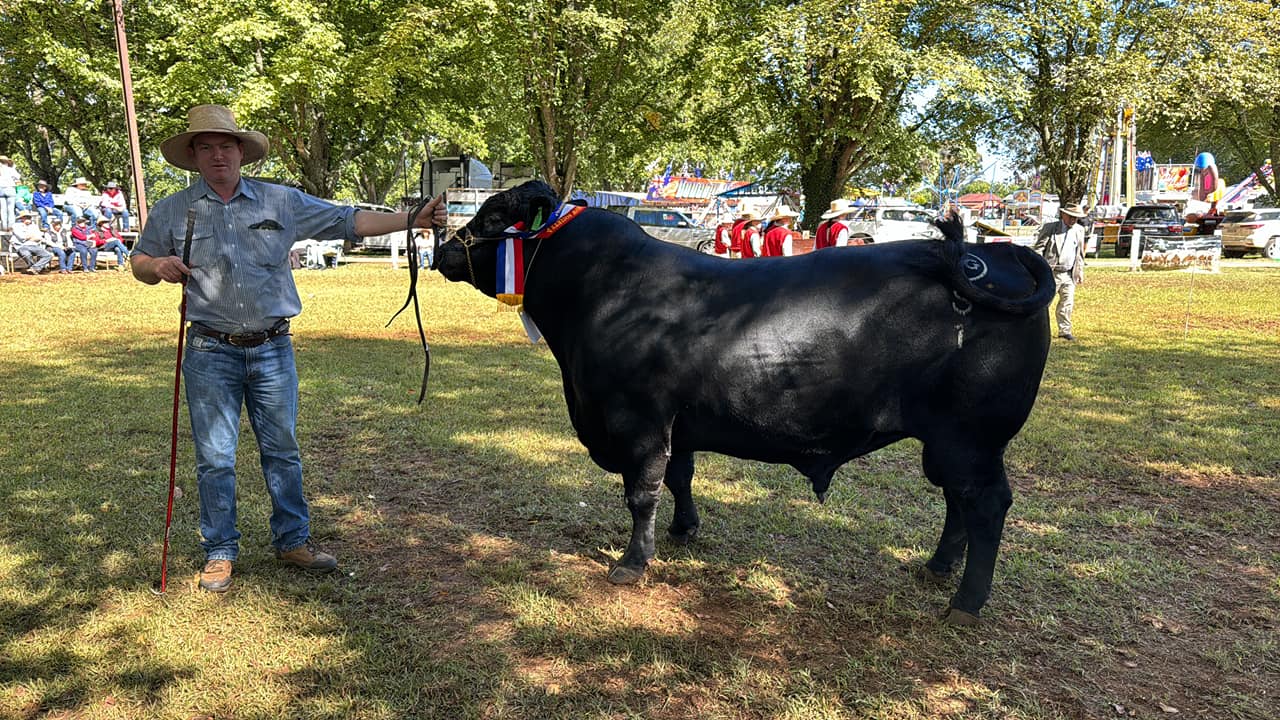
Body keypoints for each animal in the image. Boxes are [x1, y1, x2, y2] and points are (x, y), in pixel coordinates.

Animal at [430, 180, 1049, 622]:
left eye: (492, 219)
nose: (441, 250)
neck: (599, 292)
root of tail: (995, 256)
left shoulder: (638, 422)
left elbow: (641, 492)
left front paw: (633, 562)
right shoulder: (677, 423)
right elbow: (680, 478)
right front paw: (684, 531)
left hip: (971, 438)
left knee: (985, 505)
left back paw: (965, 603)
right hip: (949, 443)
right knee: (957, 504)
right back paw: (937, 569)